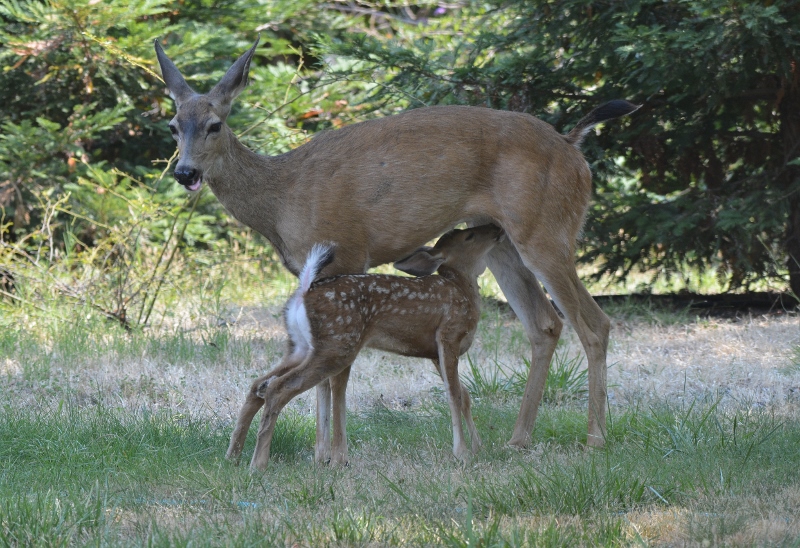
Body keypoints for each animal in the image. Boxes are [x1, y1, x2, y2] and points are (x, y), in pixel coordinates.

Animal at [156, 36, 640, 452]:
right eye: (174, 126)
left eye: (215, 125)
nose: (184, 172)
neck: (280, 200)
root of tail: (573, 148)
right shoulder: (310, 274)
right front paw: (319, 451)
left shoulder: (349, 253)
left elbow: (338, 373)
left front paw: (330, 453)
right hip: (499, 237)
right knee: (544, 324)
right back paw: (518, 439)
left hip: (547, 229)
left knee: (594, 323)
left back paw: (595, 439)